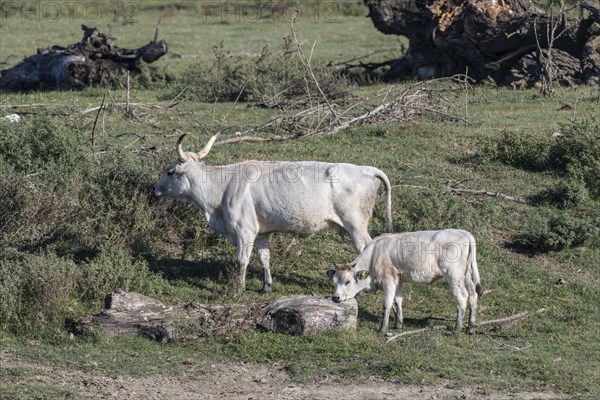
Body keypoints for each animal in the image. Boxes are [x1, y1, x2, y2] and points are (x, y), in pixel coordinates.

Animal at [154, 130, 394, 296]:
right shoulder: (261, 233)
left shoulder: (244, 231)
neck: (221, 188)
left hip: (356, 225)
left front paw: (236, 290)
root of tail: (366, 169)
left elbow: (242, 261)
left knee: (366, 249)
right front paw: (266, 286)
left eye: (170, 171)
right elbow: (264, 258)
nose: (155, 188)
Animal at [328, 230, 482, 332]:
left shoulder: (388, 279)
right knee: (473, 295)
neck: (374, 255)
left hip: (454, 276)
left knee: (462, 298)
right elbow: (398, 300)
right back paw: (470, 327)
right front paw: (398, 324)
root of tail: (465, 233)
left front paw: (383, 328)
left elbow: (387, 303)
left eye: (348, 281)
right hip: (467, 276)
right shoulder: (399, 279)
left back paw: (457, 329)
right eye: (334, 281)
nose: (335, 297)